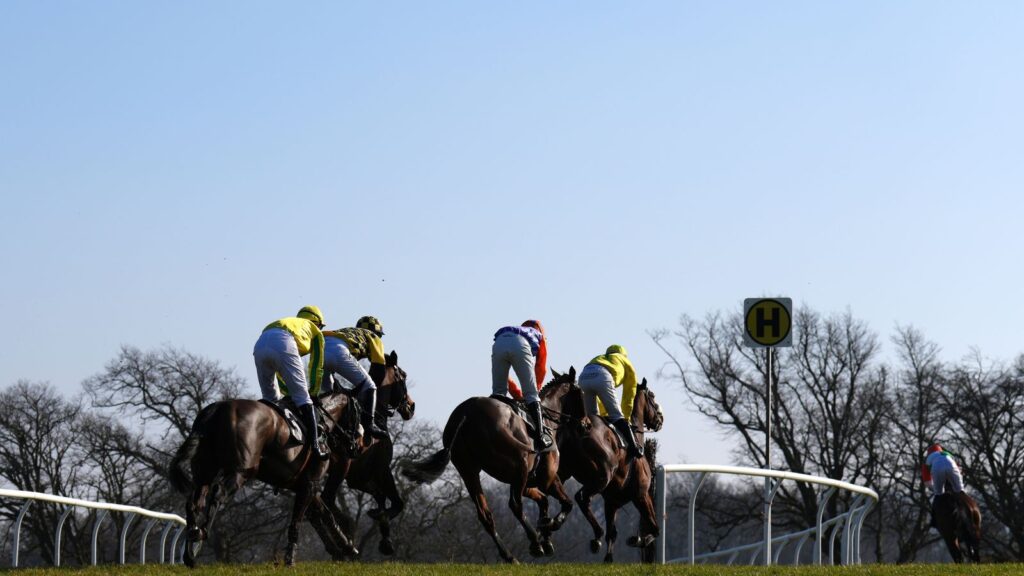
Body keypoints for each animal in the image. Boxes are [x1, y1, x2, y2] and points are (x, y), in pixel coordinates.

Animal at [168, 387, 360, 561]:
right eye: (358, 412)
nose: (356, 444)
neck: (320, 423)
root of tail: (216, 410)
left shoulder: (303, 485)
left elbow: (325, 514)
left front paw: (347, 546)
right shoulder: (310, 483)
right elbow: (299, 519)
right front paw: (290, 558)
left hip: (204, 472)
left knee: (195, 501)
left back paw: (191, 546)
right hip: (242, 471)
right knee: (218, 493)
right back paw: (200, 535)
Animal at [319, 348, 415, 553]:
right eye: (403, 376)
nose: (411, 406)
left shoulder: (358, 478)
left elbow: (380, 495)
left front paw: (382, 528)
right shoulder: (382, 469)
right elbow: (396, 502)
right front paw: (383, 529)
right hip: (340, 465)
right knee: (325, 500)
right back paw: (343, 544)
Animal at [399, 366, 581, 561]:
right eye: (581, 392)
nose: (584, 423)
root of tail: (465, 414)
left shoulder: (526, 483)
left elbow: (544, 501)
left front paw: (546, 534)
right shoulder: (546, 479)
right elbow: (567, 503)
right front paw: (550, 527)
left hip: (469, 472)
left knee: (485, 515)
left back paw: (509, 555)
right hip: (520, 464)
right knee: (515, 505)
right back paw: (534, 541)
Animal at [561, 377, 663, 561]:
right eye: (652, 396)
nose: (660, 419)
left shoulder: (611, 501)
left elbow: (613, 533)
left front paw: (608, 558)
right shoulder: (641, 494)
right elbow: (654, 527)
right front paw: (638, 539)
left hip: (563, 471)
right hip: (602, 477)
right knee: (581, 497)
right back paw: (596, 536)